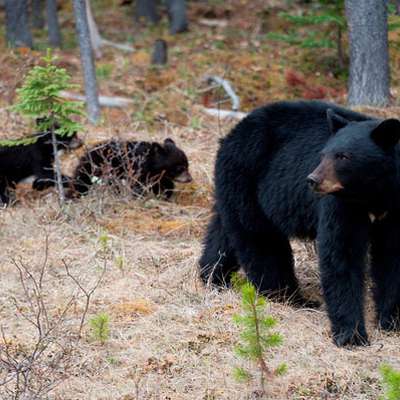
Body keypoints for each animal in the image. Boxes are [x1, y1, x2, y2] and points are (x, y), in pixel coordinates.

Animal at [200, 101, 400, 346]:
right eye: (323, 154)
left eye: (343, 156)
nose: (313, 180)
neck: (373, 195)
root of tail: (233, 132)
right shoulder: (341, 205)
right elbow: (341, 254)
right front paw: (352, 335)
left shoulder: (395, 207)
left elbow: (391, 259)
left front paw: (390, 321)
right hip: (247, 179)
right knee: (261, 242)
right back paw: (289, 297)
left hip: (234, 189)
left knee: (224, 231)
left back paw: (212, 275)